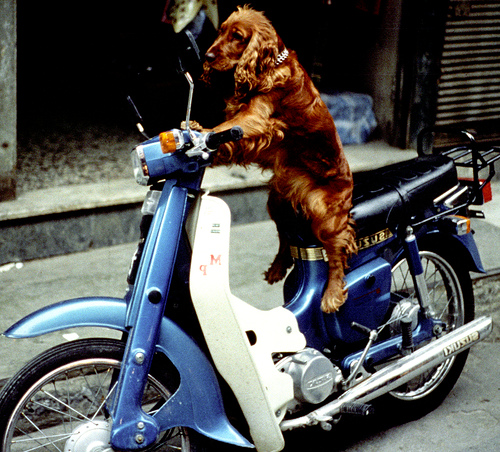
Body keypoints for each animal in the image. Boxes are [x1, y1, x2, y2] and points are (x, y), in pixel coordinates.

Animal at [199, 5, 356, 312]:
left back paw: (332, 295)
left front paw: (196, 132)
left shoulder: (257, 118)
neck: (269, 66)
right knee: (286, 238)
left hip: (324, 214)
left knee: (337, 252)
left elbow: (224, 129)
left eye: (237, 36)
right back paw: (276, 268)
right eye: (221, 30)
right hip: (278, 202)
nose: (208, 56)